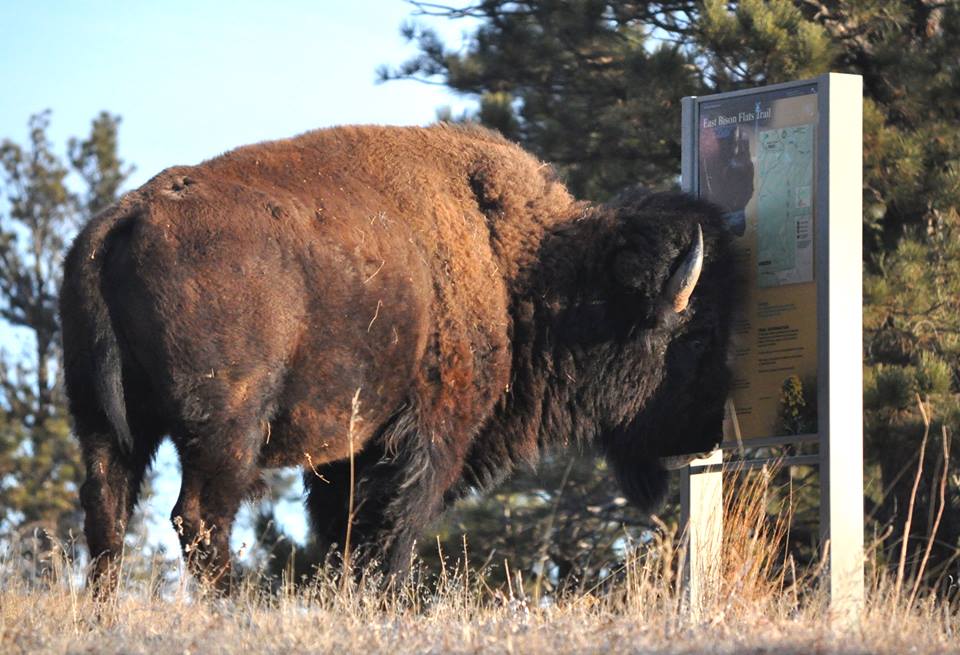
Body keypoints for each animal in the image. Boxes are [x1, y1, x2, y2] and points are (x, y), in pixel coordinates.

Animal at [60, 123, 732, 588]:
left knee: (106, 511)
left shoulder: (347, 456)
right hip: (227, 427)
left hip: (102, 419)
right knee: (198, 518)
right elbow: (391, 533)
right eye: (697, 338)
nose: (705, 437)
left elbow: (344, 533)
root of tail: (125, 217)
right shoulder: (427, 438)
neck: (521, 267)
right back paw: (235, 605)